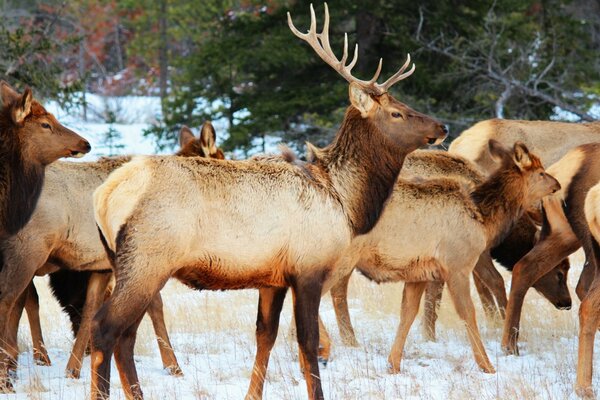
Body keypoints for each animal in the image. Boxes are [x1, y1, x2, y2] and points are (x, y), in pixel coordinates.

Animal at [0, 123, 223, 392]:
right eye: (221, 157)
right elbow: (155, 307)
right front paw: (173, 365)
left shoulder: (101, 266)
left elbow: (89, 311)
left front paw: (73, 369)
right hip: (27, 252)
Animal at [88, 3, 446, 400]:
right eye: (396, 112)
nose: (442, 127)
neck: (345, 200)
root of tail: (104, 195)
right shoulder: (308, 268)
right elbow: (307, 344)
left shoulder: (272, 278)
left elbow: (266, 337)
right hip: (148, 260)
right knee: (104, 329)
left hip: (127, 263)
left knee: (126, 336)